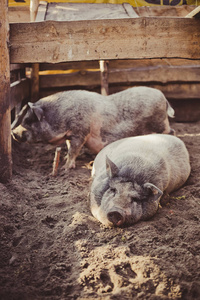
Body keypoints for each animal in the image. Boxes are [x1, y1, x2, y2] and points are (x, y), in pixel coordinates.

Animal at [12, 86, 174, 170]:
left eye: (29, 121)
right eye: (25, 119)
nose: (13, 132)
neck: (61, 115)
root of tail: (164, 97)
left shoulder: (80, 131)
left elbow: (74, 150)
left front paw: (65, 168)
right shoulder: (70, 134)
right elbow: (69, 148)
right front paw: (65, 160)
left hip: (160, 122)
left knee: (171, 131)